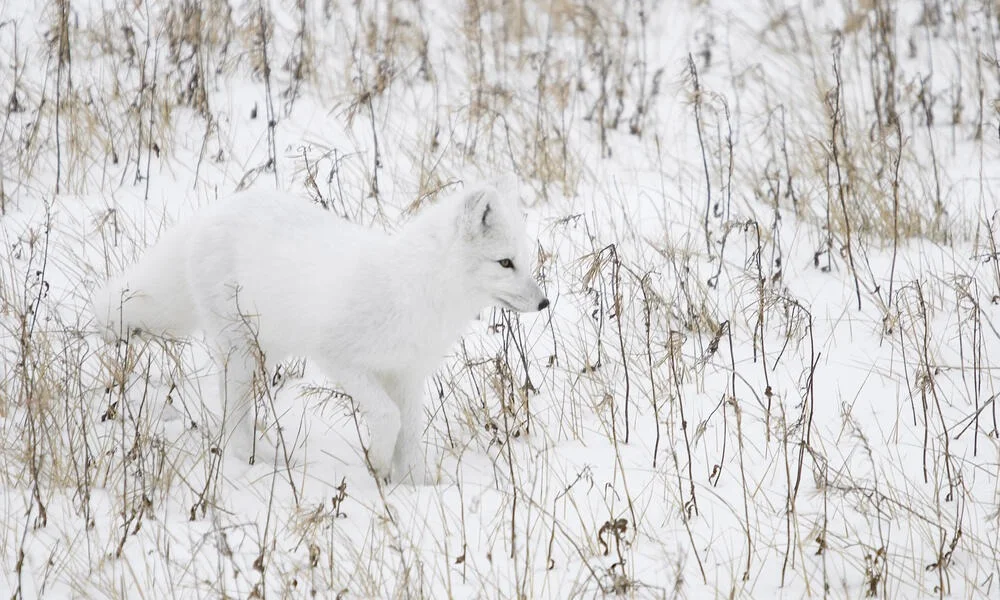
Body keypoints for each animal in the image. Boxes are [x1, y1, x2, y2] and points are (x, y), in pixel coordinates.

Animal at [92, 184, 549, 484]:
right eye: (504, 263)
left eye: (522, 261)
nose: (544, 303)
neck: (414, 288)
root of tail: (211, 212)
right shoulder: (341, 358)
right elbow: (388, 417)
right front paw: (378, 465)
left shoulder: (406, 374)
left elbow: (411, 433)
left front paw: (418, 487)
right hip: (241, 350)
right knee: (231, 411)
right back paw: (255, 458)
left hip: (265, 348)